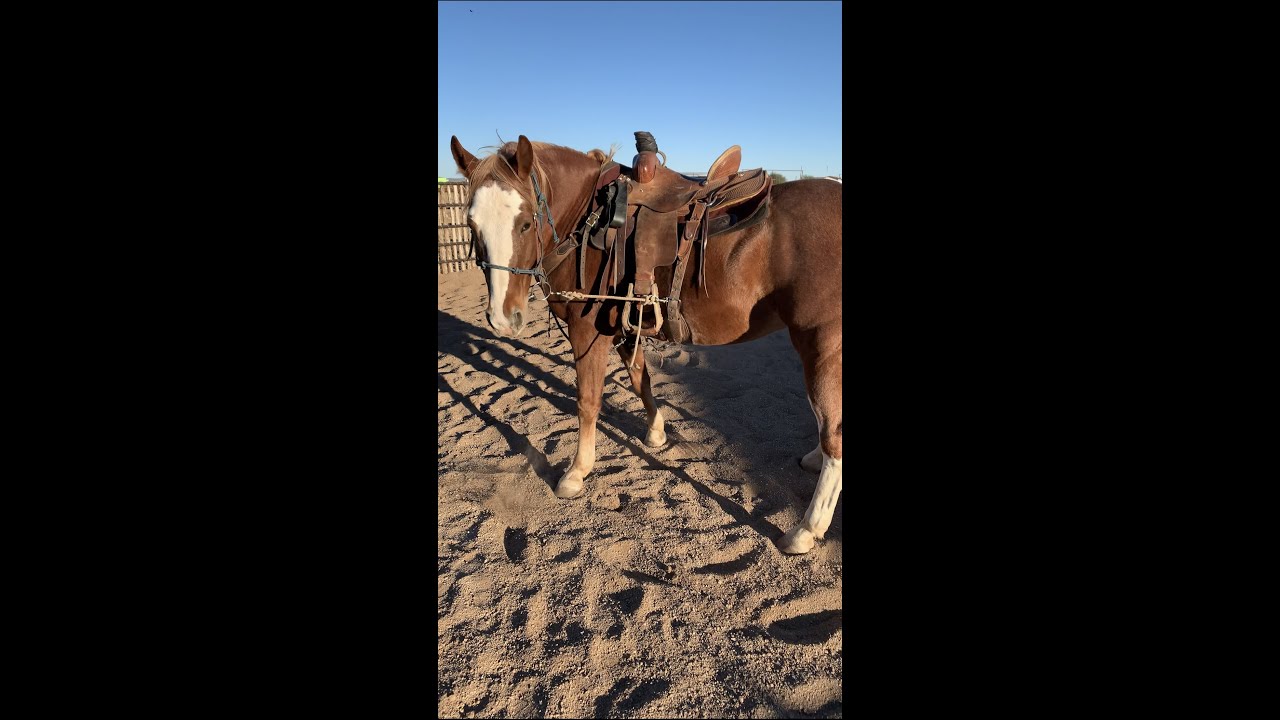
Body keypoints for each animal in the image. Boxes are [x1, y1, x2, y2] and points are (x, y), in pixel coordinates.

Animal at [449, 134, 841, 555]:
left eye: (525, 223)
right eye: (471, 223)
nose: (502, 319)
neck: (590, 220)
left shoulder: (588, 332)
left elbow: (588, 401)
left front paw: (576, 472)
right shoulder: (623, 325)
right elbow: (641, 381)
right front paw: (655, 432)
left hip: (822, 347)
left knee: (833, 434)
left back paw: (806, 529)